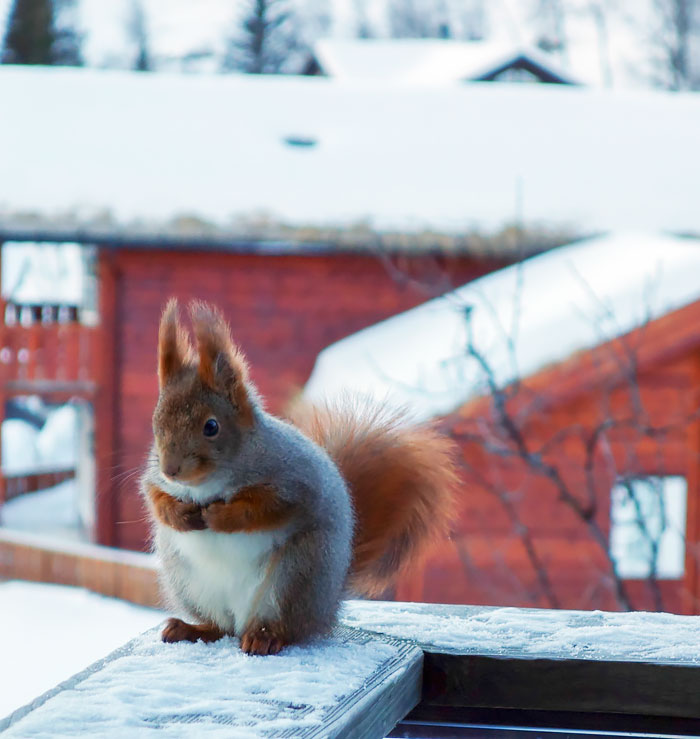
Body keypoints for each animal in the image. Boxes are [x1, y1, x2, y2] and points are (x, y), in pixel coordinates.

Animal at [140, 299, 458, 656]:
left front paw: (222, 516)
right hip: (189, 582)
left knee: (284, 627)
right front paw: (177, 513)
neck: (208, 484)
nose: (171, 469)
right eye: (156, 422)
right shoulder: (153, 478)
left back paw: (265, 637)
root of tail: (329, 604)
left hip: (296, 575)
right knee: (219, 627)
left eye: (211, 426)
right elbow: (153, 495)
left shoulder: (295, 479)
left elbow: (267, 508)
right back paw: (191, 628)